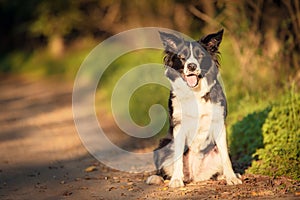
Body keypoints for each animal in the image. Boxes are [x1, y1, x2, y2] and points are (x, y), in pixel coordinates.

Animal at [146, 29, 243, 188]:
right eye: (182, 57)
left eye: (200, 55)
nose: (191, 66)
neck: (195, 93)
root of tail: (195, 176)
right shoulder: (179, 125)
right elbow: (178, 156)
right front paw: (176, 180)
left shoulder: (218, 123)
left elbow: (226, 157)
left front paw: (231, 177)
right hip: (162, 146)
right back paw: (159, 178)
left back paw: (223, 176)